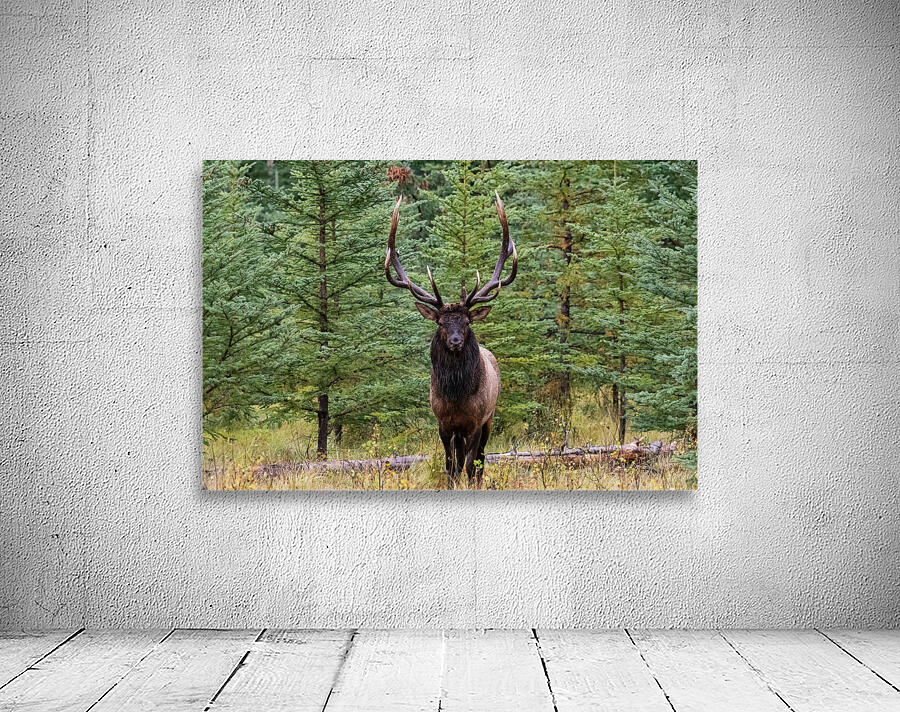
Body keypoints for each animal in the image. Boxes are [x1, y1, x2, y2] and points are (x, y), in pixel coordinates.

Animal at [385, 193, 518, 489]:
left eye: (466, 322)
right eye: (441, 323)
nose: (456, 341)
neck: (457, 396)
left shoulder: (476, 422)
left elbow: (470, 465)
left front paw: (471, 483)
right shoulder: (444, 423)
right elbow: (450, 466)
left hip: (491, 417)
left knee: (480, 459)